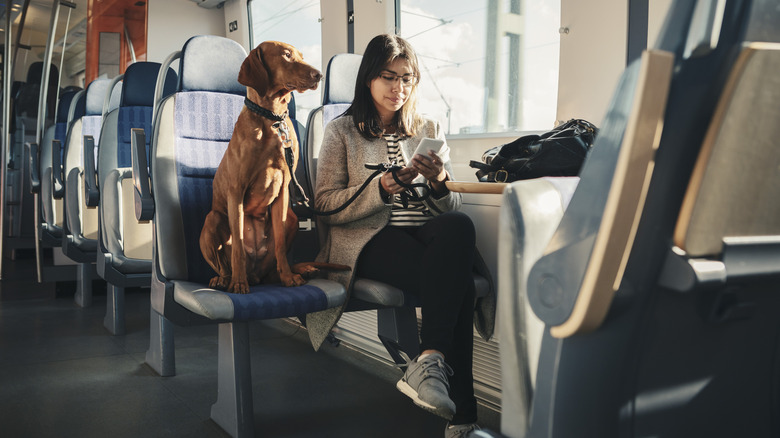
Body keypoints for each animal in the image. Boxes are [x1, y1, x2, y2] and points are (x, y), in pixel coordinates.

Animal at [201, 42, 338, 294]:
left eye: (301, 55)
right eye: (287, 55)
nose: (319, 74)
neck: (272, 119)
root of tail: (256, 275)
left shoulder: (283, 190)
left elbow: (281, 247)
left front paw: (289, 278)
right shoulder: (236, 191)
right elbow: (237, 249)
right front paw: (238, 282)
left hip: (291, 218)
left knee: (272, 266)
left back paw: (295, 272)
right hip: (213, 218)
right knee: (224, 262)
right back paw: (225, 279)